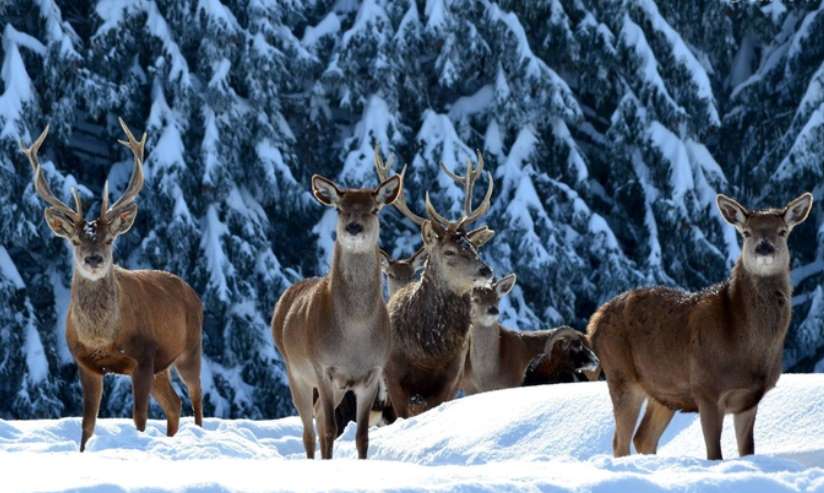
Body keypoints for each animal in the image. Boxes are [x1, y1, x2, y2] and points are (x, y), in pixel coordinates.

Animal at [22, 119, 204, 450]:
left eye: (109, 240)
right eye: (75, 241)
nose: (93, 259)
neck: (102, 338)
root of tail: (191, 291)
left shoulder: (143, 357)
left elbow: (139, 419)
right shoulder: (86, 364)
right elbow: (87, 426)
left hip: (190, 348)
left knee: (196, 398)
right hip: (163, 367)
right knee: (174, 404)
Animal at [374, 145, 496, 416]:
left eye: (474, 247)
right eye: (449, 251)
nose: (486, 271)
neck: (428, 353)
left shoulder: (451, 378)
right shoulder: (393, 378)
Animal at [588, 191, 816, 458]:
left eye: (782, 231)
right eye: (746, 232)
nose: (764, 247)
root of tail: (594, 322)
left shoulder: (749, 399)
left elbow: (747, 450)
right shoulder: (706, 389)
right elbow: (714, 454)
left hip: (664, 392)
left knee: (643, 437)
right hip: (621, 374)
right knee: (620, 442)